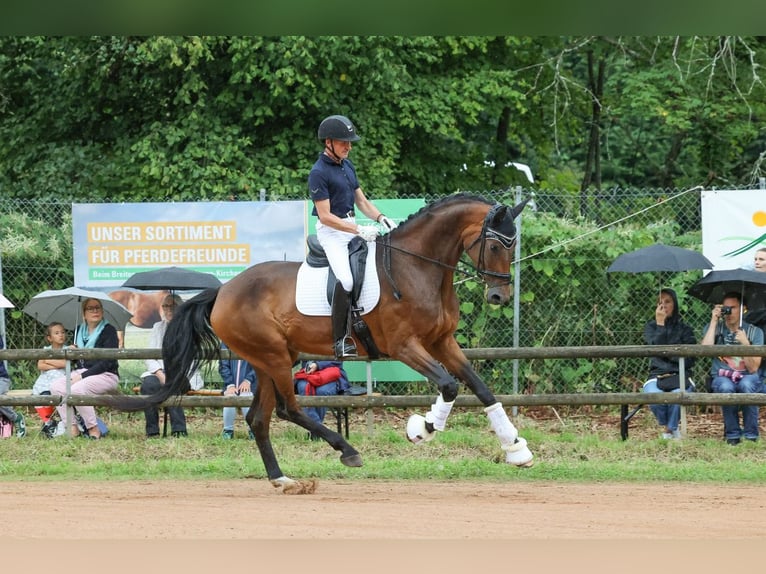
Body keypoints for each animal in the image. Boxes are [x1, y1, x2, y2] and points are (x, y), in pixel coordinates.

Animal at [107, 193, 533, 493]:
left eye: (513, 245)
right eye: (496, 245)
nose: (499, 297)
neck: (417, 267)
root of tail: (223, 291)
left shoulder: (442, 342)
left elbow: (480, 388)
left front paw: (516, 448)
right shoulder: (404, 346)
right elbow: (448, 385)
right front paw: (423, 428)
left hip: (269, 359)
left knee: (258, 418)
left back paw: (282, 479)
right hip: (275, 357)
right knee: (288, 409)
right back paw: (346, 450)